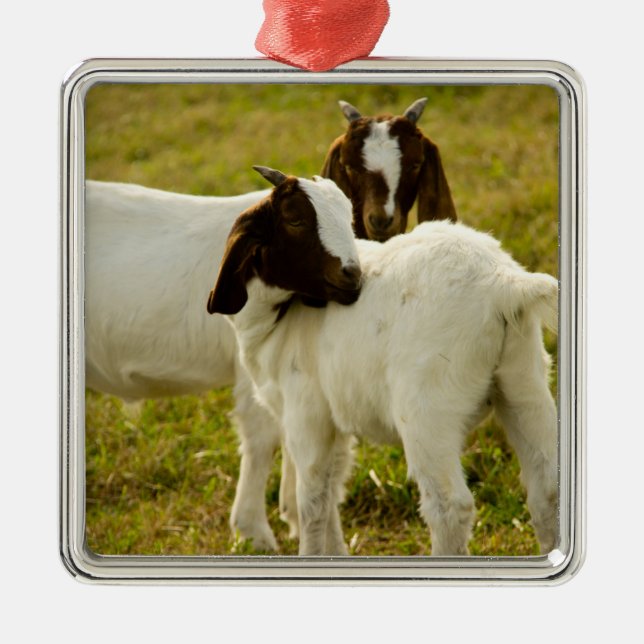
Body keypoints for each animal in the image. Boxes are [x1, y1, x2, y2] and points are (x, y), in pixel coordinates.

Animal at [208, 166, 559, 556]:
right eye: (295, 219)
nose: (352, 275)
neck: (276, 321)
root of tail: (504, 285)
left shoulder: (305, 415)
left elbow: (311, 503)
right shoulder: (333, 421)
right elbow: (330, 496)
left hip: (428, 411)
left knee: (450, 506)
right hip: (524, 383)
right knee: (547, 490)